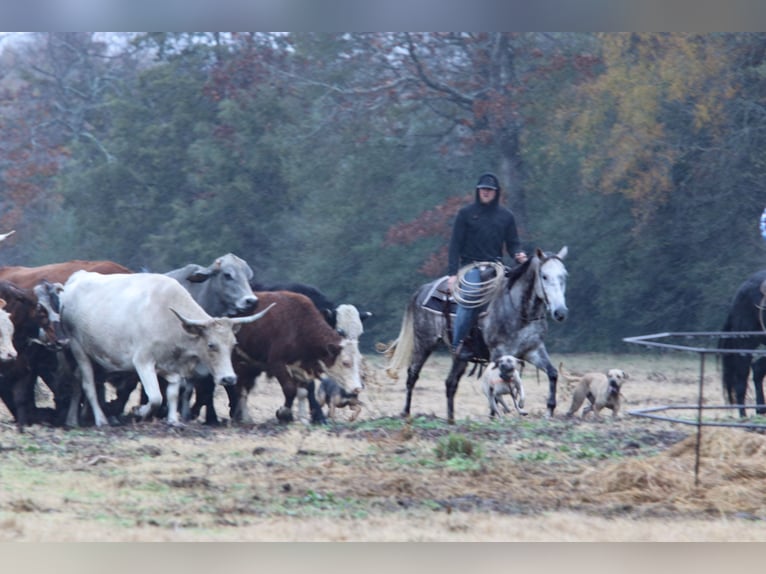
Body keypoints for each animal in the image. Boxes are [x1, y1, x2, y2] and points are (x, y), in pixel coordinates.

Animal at [384, 248, 568, 424]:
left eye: (564, 276)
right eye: (544, 276)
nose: (560, 312)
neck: (519, 310)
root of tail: (423, 290)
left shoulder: (533, 350)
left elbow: (552, 373)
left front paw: (549, 410)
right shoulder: (498, 353)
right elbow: (494, 386)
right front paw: (494, 416)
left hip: (460, 356)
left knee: (450, 383)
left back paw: (451, 420)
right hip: (424, 342)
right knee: (412, 375)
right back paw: (406, 414)